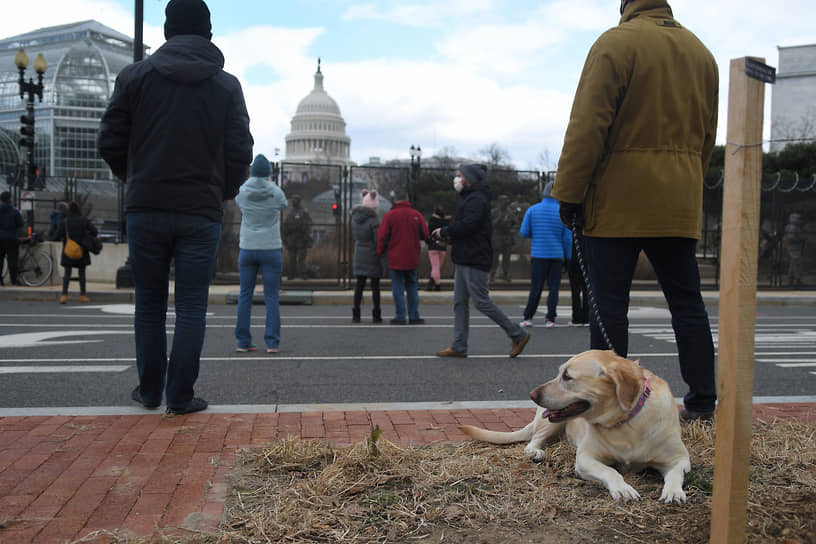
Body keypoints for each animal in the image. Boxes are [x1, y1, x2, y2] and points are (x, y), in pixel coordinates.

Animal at [460, 350, 688, 504]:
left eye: (567, 376)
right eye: (560, 373)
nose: (532, 394)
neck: (626, 422)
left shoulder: (681, 459)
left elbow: (676, 473)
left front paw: (673, 491)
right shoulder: (585, 459)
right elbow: (611, 471)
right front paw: (623, 488)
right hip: (548, 423)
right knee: (533, 440)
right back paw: (536, 452)